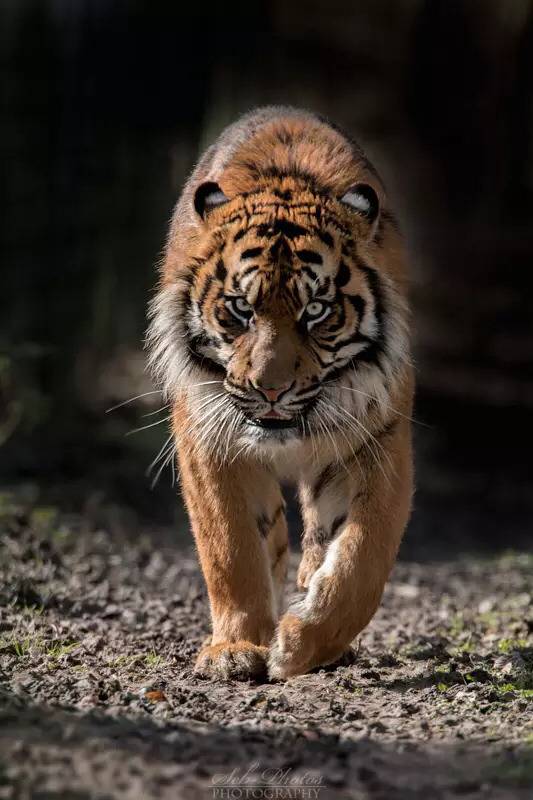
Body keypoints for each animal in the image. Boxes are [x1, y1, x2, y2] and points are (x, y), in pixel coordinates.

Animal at [148, 108, 414, 680]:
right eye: (240, 309)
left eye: (315, 311)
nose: (270, 389)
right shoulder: (209, 437)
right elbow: (232, 547)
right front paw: (236, 648)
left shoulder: (376, 439)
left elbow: (362, 558)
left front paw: (300, 643)